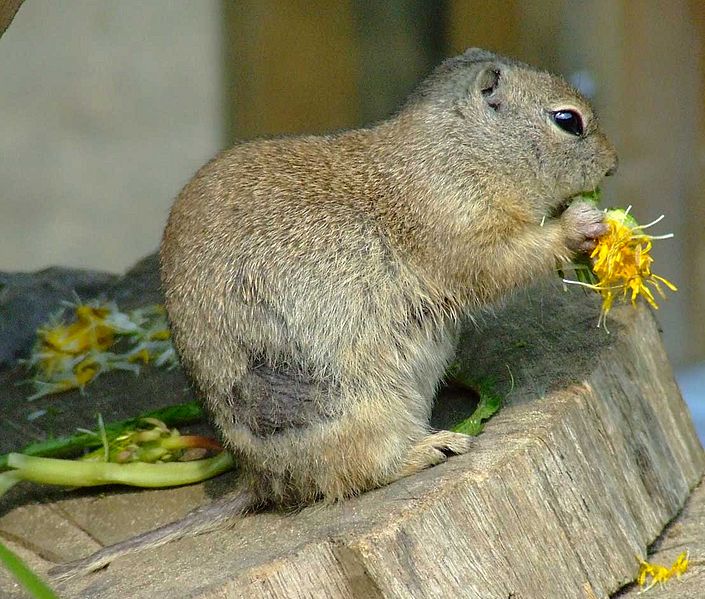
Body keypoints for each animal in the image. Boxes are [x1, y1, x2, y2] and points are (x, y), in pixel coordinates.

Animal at [51, 48, 617, 580]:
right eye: (568, 120)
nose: (612, 165)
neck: (456, 149)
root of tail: (259, 479)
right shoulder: (457, 229)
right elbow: (503, 263)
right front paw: (582, 224)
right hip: (367, 409)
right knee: (359, 475)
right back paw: (433, 448)